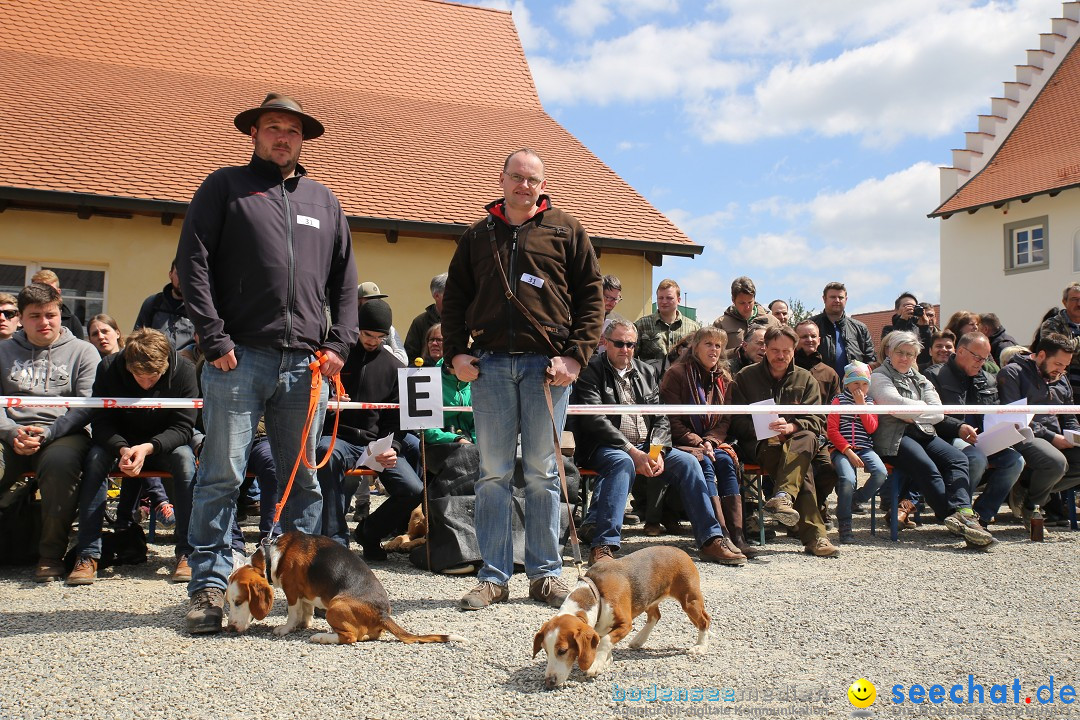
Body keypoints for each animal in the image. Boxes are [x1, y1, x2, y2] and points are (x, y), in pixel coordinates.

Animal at [225, 528, 462, 647]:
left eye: (238, 602)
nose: (230, 629)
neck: (270, 556)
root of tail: (382, 613)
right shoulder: (304, 594)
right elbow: (306, 609)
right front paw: (304, 623)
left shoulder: (291, 591)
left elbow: (292, 613)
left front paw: (286, 629)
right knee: (363, 636)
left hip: (335, 606)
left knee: (349, 638)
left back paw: (322, 637)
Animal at [529, 548, 708, 690]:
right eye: (545, 650)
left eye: (562, 651)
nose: (549, 681)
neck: (596, 594)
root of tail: (681, 551)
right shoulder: (600, 628)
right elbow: (604, 642)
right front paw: (605, 660)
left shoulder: (625, 624)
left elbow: (605, 641)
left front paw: (596, 664)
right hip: (649, 600)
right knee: (655, 616)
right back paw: (639, 640)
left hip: (690, 600)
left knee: (705, 620)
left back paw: (700, 646)